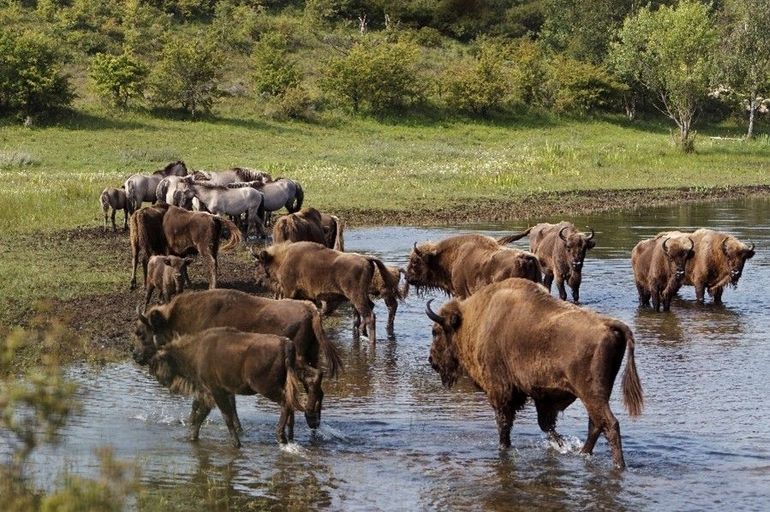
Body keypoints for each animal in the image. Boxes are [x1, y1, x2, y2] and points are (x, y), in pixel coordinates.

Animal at [252, 241, 400, 344]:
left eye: (257, 264)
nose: (256, 280)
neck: (283, 259)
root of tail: (367, 259)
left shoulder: (290, 292)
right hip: (360, 296)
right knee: (366, 312)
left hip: (356, 296)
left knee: (370, 316)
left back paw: (370, 342)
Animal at [426, 278, 640, 470]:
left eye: (436, 331)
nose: (431, 361)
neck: (477, 319)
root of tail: (609, 325)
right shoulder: (540, 396)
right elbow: (545, 425)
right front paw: (560, 445)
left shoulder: (501, 392)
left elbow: (504, 425)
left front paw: (504, 448)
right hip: (599, 394)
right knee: (596, 425)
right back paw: (583, 453)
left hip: (591, 394)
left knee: (609, 424)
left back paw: (619, 465)